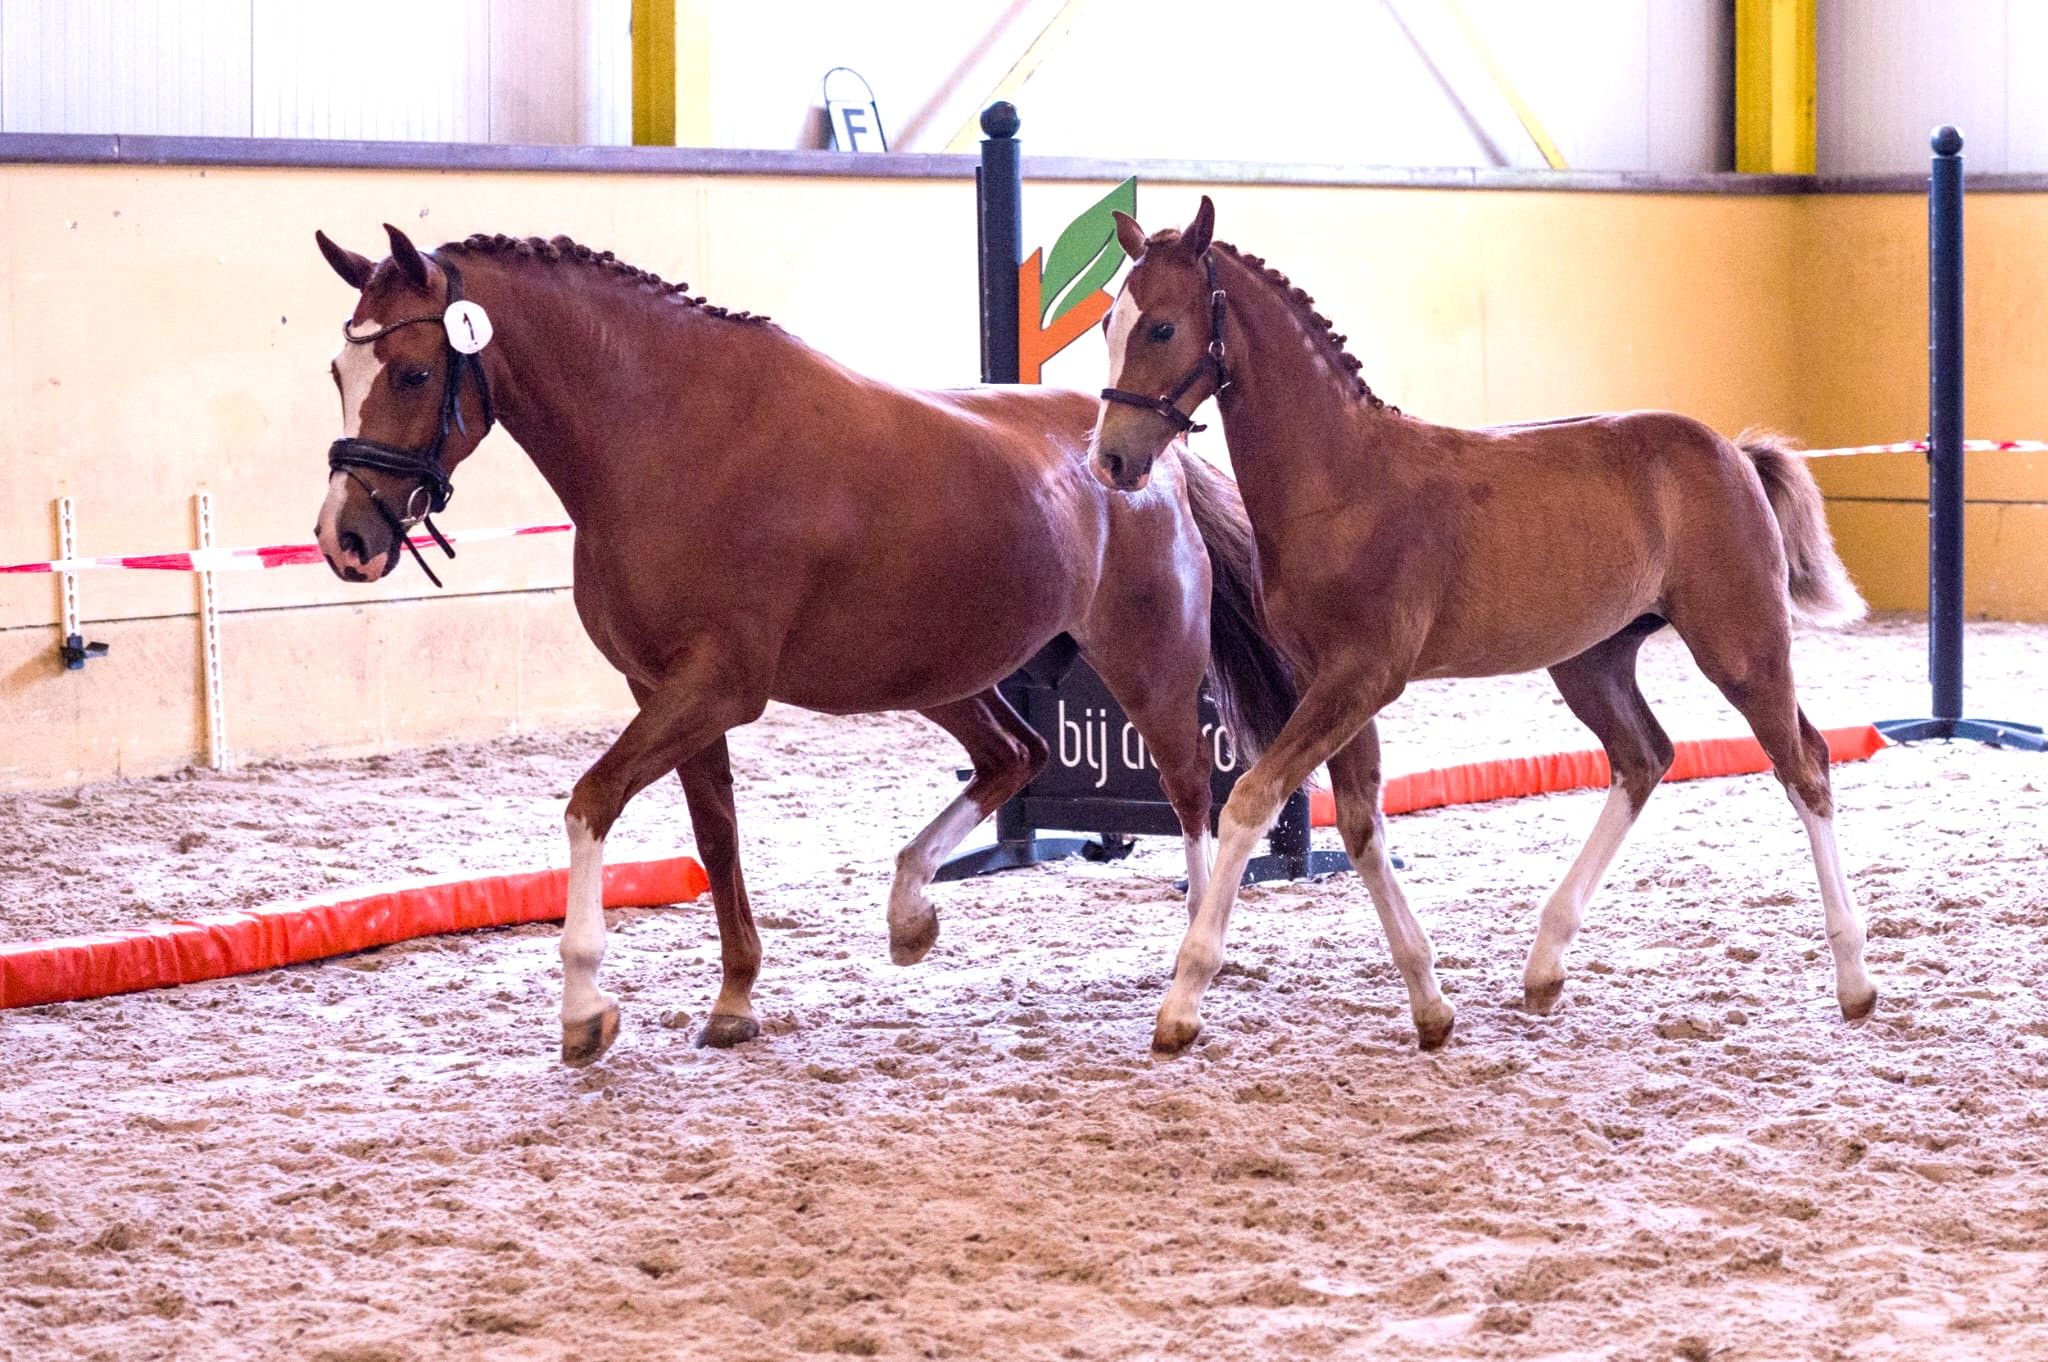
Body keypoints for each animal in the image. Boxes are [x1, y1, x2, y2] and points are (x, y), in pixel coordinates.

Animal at [310, 223, 1295, 1066]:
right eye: (337, 369)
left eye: (410, 373)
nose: (343, 538)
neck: (667, 436)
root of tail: (1151, 456)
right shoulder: (662, 690)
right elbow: (716, 841)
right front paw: (734, 1001)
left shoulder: (717, 685)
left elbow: (591, 802)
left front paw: (585, 1009)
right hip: (939, 674)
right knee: (1016, 755)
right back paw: (909, 914)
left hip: (1149, 668)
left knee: (1192, 795)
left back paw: (1186, 973)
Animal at [1091, 197, 1876, 1055]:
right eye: (1108, 324)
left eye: (1163, 327)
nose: (1112, 461)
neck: (1339, 483)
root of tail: (1732, 453)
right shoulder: (1328, 684)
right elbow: (1362, 827)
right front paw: (1431, 1005)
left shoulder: (1362, 677)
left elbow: (1251, 800)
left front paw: (1182, 1003)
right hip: (1592, 661)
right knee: (1645, 758)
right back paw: (1544, 965)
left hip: (1740, 646)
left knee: (1804, 766)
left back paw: (1855, 982)